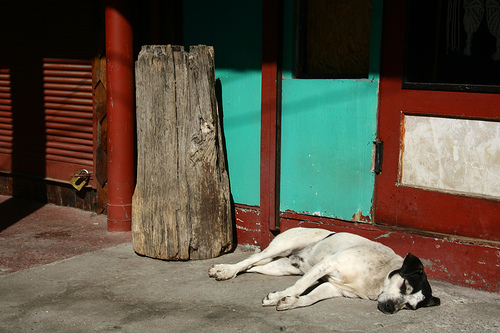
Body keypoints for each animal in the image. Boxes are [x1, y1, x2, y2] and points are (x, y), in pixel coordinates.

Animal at [209, 226, 440, 312]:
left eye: (409, 306)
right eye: (405, 286)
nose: (390, 308)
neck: (377, 278)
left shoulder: (333, 287)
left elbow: (309, 298)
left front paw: (289, 302)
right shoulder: (328, 265)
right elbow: (299, 287)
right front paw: (279, 296)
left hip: (280, 267)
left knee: (252, 265)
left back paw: (225, 269)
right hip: (282, 246)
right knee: (249, 260)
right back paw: (225, 270)